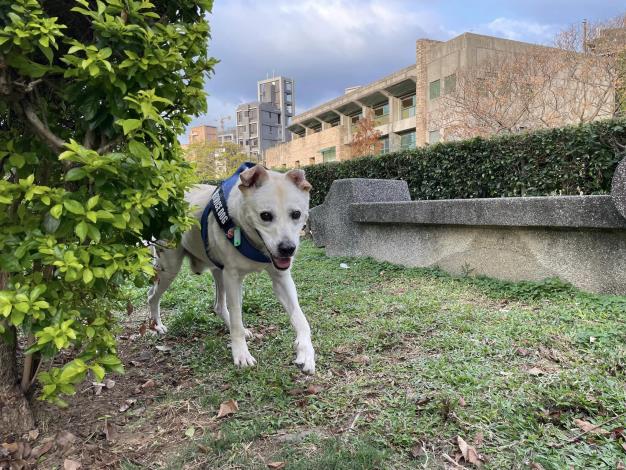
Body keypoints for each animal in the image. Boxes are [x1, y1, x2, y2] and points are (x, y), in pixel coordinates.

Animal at [144, 165, 314, 374]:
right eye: (265, 216)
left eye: (296, 214)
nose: (288, 249)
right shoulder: (233, 278)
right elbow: (236, 319)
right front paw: (241, 354)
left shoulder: (280, 278)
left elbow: (300, 317)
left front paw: (306, 352)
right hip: (170, 268)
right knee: (152, 296)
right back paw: (157, 326)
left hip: (219, 271)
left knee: (218, 305)